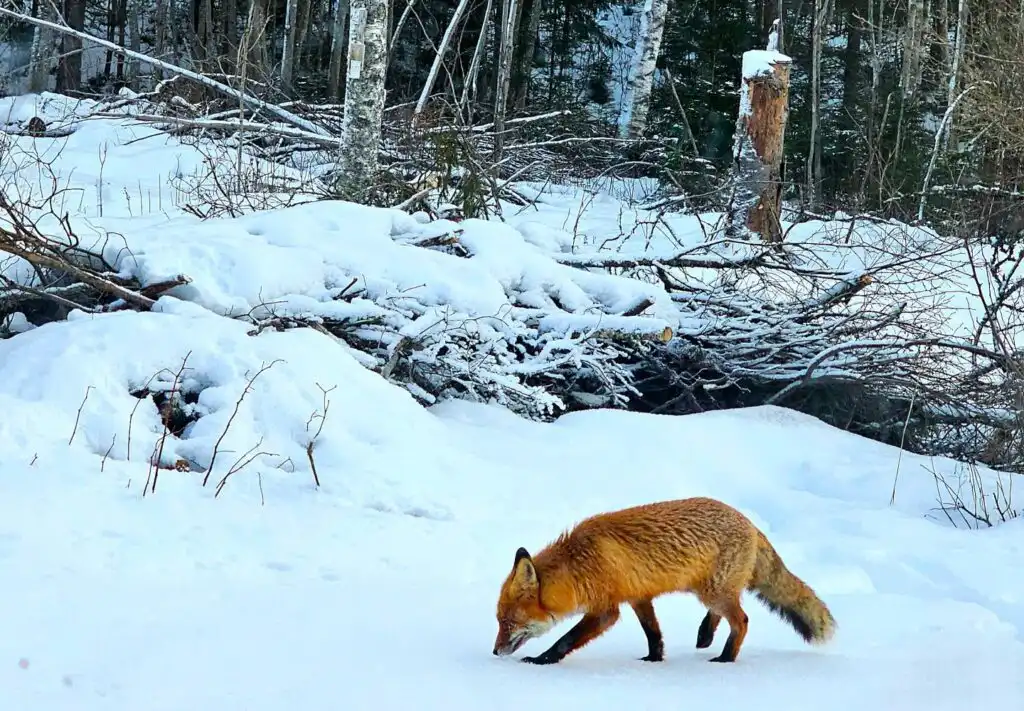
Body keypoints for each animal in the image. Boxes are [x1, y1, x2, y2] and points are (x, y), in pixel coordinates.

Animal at [492, 496, 835, 665]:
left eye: (508, 623)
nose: (495, 652)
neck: (579, 565)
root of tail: (750, 523)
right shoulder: (638, 597)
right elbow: (653, 632)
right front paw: (654, 659)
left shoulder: (606, 609)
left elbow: (565, 639)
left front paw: (541, 660)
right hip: (712, 590)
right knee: (724, 613)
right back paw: (705, 635)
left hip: (713, 591)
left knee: (742, 619)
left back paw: (726, 657)